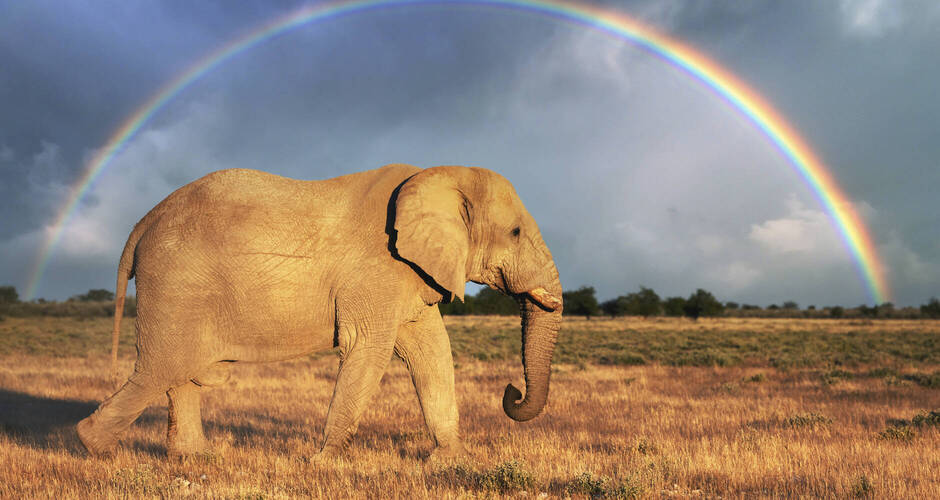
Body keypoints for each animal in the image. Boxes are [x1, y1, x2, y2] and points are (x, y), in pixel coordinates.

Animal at [76, 164, 563, 458]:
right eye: (515, 232)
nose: (511, 392)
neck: (438, 173)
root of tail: (143, 222)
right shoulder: (377, 268)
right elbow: (368, 349)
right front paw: (325, 464)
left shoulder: (409, 272)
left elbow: (432, 352)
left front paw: (449, 462)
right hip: (176, 282)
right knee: (161, 367)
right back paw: (97, 450)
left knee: (180, 372)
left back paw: (196, 458)